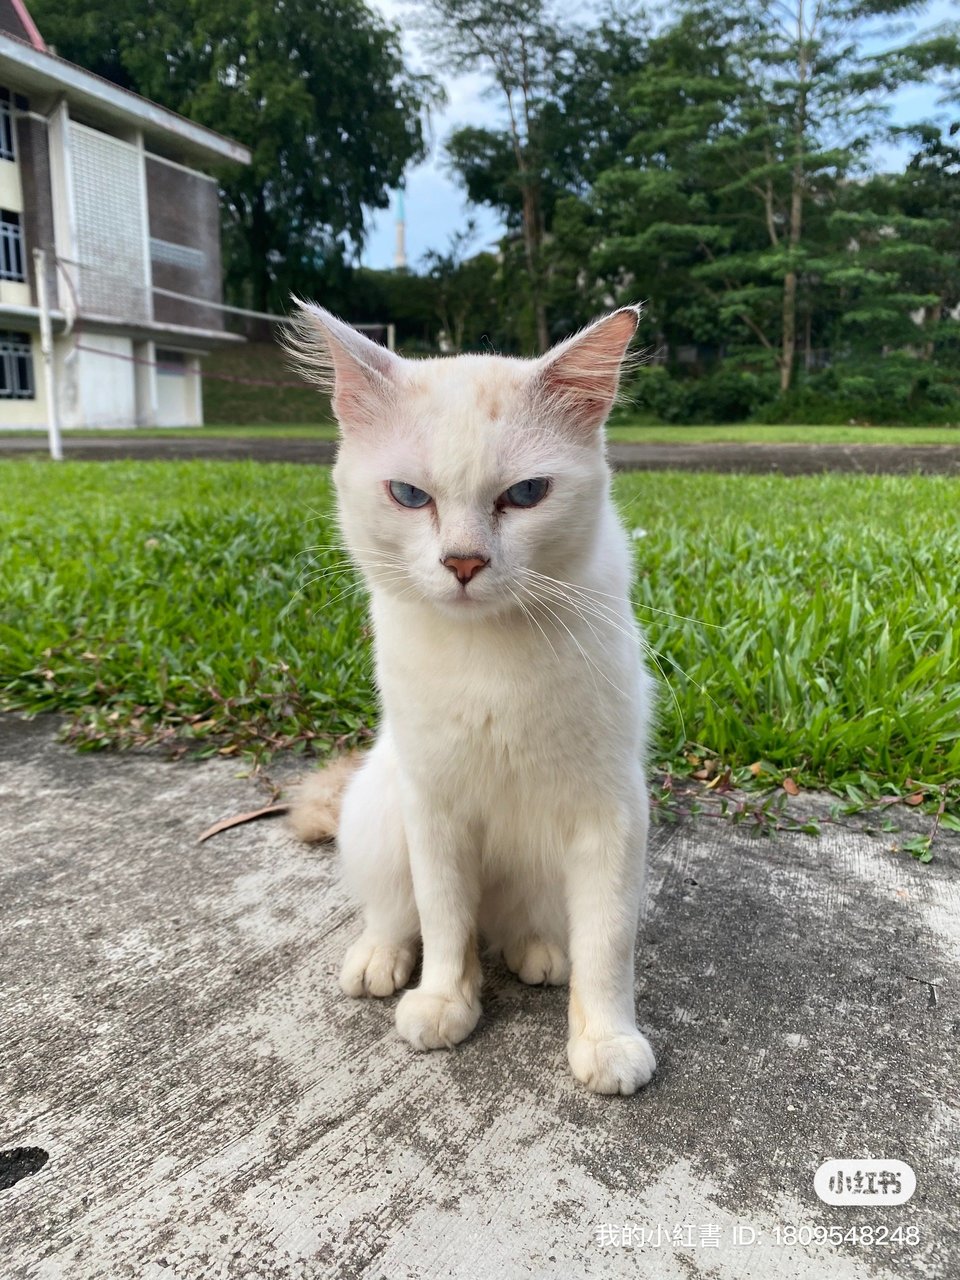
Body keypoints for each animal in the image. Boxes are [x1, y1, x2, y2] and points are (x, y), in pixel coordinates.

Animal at [289, 304, 660, 1095]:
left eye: (525, 495)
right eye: (409, 496)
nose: (463, 563)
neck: (490, 653)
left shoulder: (611, 811)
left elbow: (607, 943)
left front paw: (607, 1040)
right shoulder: (435, 807)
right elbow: (445, 922)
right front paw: (442, 1003)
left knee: (530, 929)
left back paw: (538, 952)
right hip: (381, 810)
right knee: (397, 913)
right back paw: (380, 961)